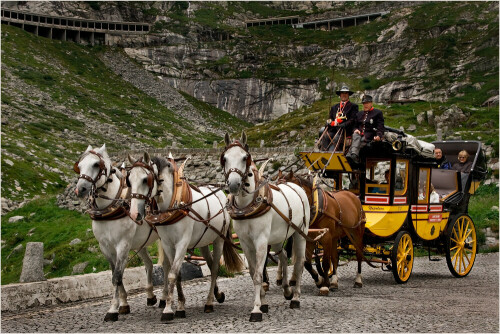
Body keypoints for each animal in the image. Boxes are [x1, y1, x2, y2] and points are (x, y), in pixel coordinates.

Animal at [74, 145, 159, 322]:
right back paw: (150, 295)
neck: (111, 205)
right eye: (79, 165)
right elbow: (114, 275)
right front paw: (123, 304)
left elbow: (118, 276)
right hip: (140, 243)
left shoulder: (123, 245)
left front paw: (113, 309)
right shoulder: (105, 247)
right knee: (149, 264)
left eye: (96, 164)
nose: (81, 189)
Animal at [126, 153, 241, 322]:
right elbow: (178, 274)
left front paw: (168, 309)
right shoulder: (168, 244)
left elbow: (172, 274)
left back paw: (209, 302)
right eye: (129, 180)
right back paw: (217, 294)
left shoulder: (182, 243)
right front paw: (180, 306)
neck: (172, 204)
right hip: (203, 242)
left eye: (145, 179)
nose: (135, 214)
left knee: (215, 268)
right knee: (210, 262)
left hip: (219, 239)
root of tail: (221, 194)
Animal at [222, 132, 310, 322]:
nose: (233, 184)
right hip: (277, 237)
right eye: (224, 158)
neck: (247, 205)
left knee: (299, 263)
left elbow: (258, 274)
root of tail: (296, 186)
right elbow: (253, 272)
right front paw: (263, 303)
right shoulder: (246, 243)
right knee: (283, 256)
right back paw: (286, 289)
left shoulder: (261, 241)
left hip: (301, 233)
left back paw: (296, 298)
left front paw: (256, 309)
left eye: (244, 157)